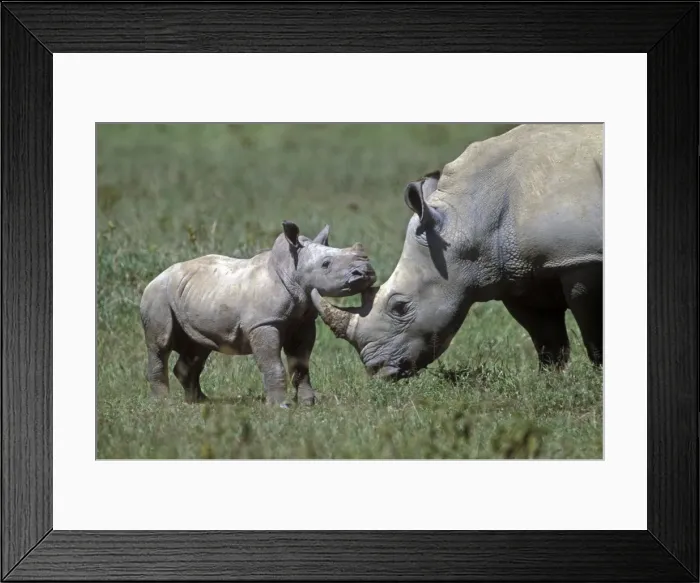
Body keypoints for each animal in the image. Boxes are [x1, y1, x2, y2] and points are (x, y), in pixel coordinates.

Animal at [139, 221, 376, 406]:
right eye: (326, 264)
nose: (366, 272)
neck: (291, 269)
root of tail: (156, 277)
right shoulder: (263, 323)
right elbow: (272, 364)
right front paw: (281, 406)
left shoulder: (303, 322)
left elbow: (301, 364)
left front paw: (309, 404)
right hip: (157, 296)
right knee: (160, 346)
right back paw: (163, 404)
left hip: (193, 297)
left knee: (198, 347)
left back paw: (200, 402)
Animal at [312, 123, 603, 380]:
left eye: (400, 307)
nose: (377, 371)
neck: (469, 216)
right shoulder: (517, 270)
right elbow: (545, 335)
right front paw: (550, 381)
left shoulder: (581, 258)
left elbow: (593, 327)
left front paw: (598, 376)